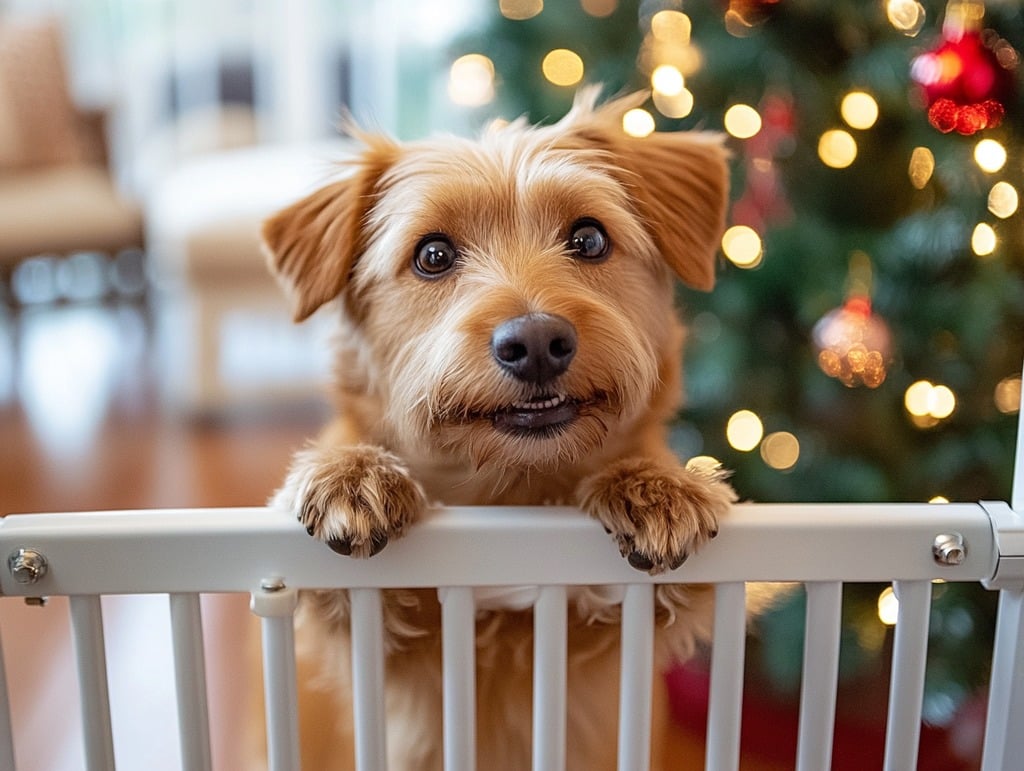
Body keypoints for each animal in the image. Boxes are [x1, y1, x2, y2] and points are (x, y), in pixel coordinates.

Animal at [260, 87, 733, 765]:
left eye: (589, 238)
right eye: (432, 255)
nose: (536, 343)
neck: (511, 493)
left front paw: (656, 484)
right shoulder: (370, 636)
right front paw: (351, 475)